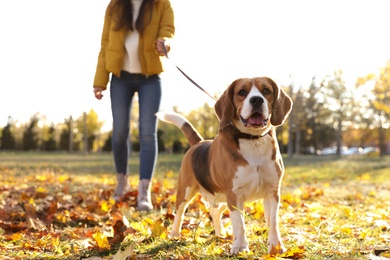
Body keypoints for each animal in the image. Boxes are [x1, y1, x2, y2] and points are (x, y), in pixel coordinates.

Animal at [157, 76, 290, 254]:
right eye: (242, 92)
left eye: (266, 90)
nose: (256, 100)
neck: (252, 140)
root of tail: (198, 143)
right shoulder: (234, 194)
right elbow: (239, 224)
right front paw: (240, 247)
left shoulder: (272, 192)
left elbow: (273, 223)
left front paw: (276, 247)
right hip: (186, 191)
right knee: (179, 212)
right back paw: (174, 234)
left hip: (222, 197)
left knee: (215, 211)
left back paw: (220, 233)